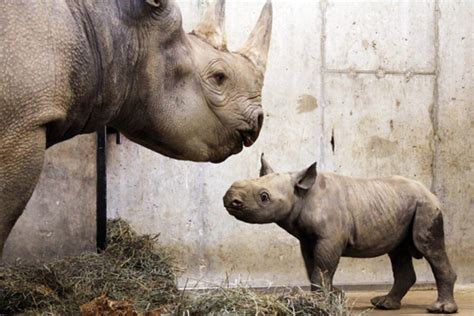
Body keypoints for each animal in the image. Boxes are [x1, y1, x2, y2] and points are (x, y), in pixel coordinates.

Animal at [224, 154, 458, 312]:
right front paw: (329, 298)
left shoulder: (330, 238)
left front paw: (319, 303)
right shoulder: (307, 239)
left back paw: (440, 309)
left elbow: (322, 268)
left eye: (264, 197)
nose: (230, 199)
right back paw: (384, 304)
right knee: (398, 252)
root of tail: (430, 192)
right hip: (401, 207)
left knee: (427, 247)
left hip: (426, 207)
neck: (301, 195)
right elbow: (313, 267)